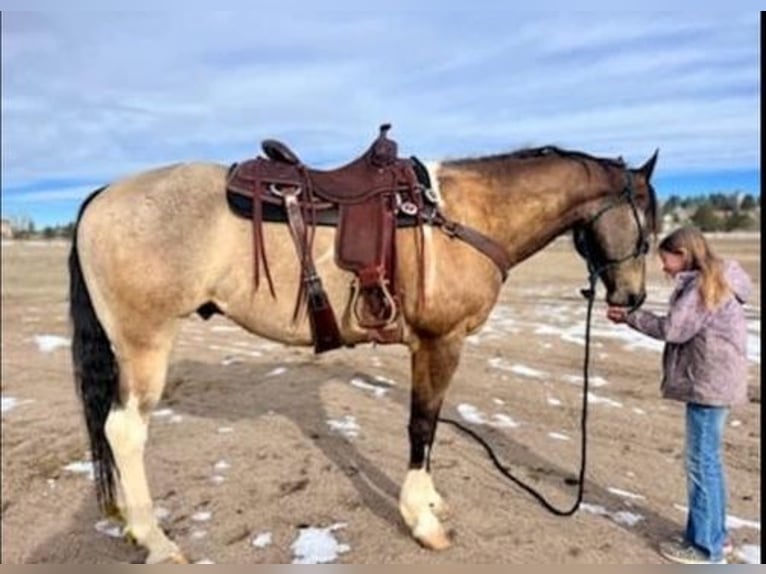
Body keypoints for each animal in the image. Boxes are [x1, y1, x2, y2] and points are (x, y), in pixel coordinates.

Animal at [69, 125, 664, 564]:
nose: (632, 298)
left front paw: (430, 501)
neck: (460, 216)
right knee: (124, 430)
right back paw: (156, 540)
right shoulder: (439, 342)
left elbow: (430, 426)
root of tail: (102, 196)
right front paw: (422, 519)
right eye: (646, 227)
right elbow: (423, 424)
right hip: (145, 342)